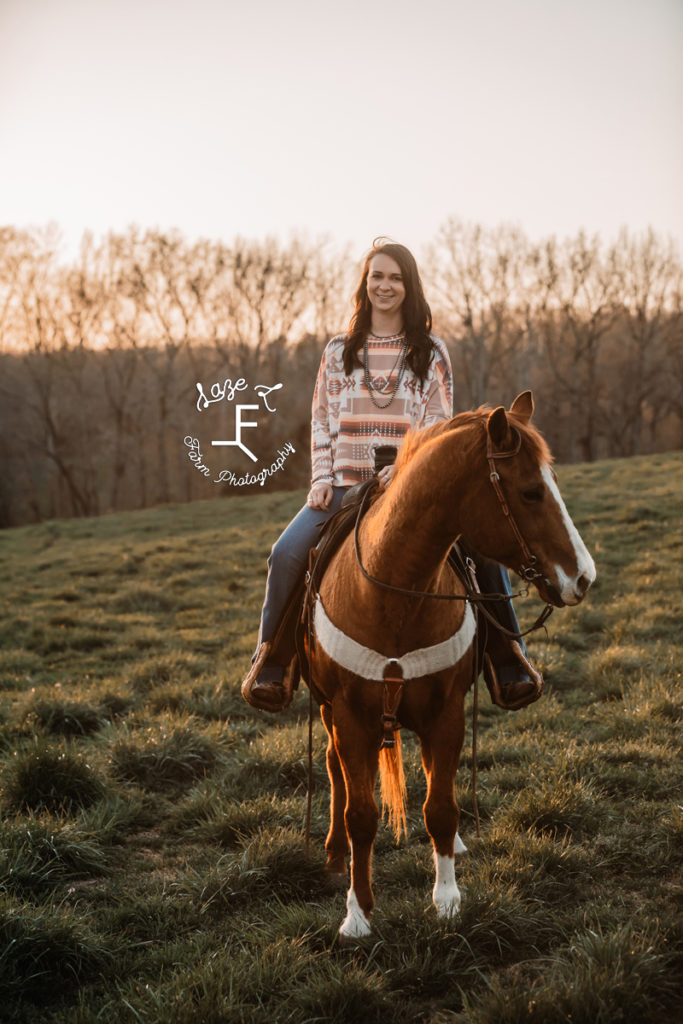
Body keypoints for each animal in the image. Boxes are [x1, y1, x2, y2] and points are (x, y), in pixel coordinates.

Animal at [307, 389, 593, 937]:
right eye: (530, 493)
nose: (584, 578)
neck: (394, 593)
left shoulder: (446, 713)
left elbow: (440, 807)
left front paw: (447, 899)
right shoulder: (351, 717)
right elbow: (361, 814)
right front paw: (357, 913)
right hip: (331, 712)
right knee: (334, 769)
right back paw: (333, 855)